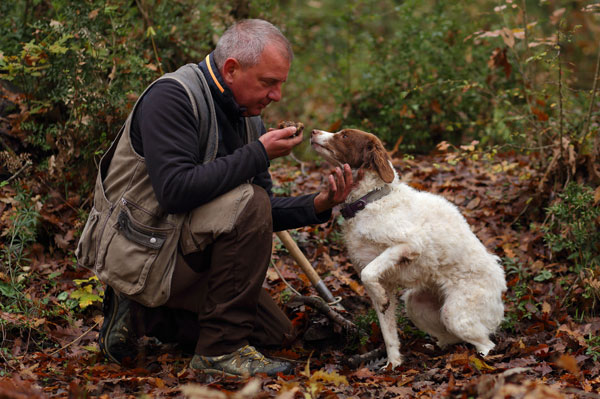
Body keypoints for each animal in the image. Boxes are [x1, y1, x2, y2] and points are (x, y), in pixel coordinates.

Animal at [310, 129, 506, 368]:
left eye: (345, 136)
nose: (313, 131)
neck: (369, 201)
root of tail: (500, 282)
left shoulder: (409, 244)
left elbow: (369, 272)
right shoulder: (385, 283)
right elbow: (388, 333)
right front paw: (393, 365)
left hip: (455, 313)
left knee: (486, 343)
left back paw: (480, 360)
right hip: (417, 304)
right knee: (451, 337)